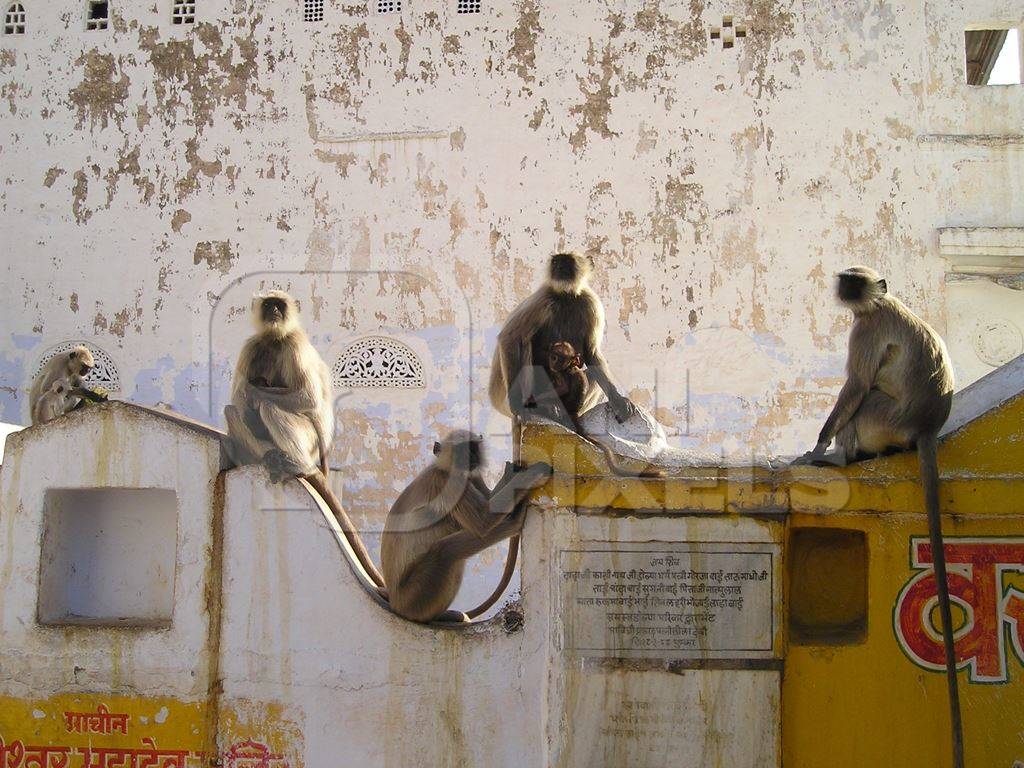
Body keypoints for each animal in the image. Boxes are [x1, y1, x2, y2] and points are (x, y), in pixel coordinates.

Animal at [380, 434, 552, 626]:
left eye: (473, 448)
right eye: (461, 450)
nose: (471, 458)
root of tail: (395, 603)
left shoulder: (472, 477)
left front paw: (510, 475)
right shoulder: (448, 482)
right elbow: (483, 521)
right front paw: (532, 475)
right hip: (414, 596)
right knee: (445, 551)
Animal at [790, 266, 958, 768]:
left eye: (853, 282)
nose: (842, 288)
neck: (882, 303)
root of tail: (926, 427)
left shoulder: (865, 328)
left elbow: (857, 385)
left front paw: (820, 444)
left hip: (885, 419)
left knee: (866, 399)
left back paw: (840, 458)